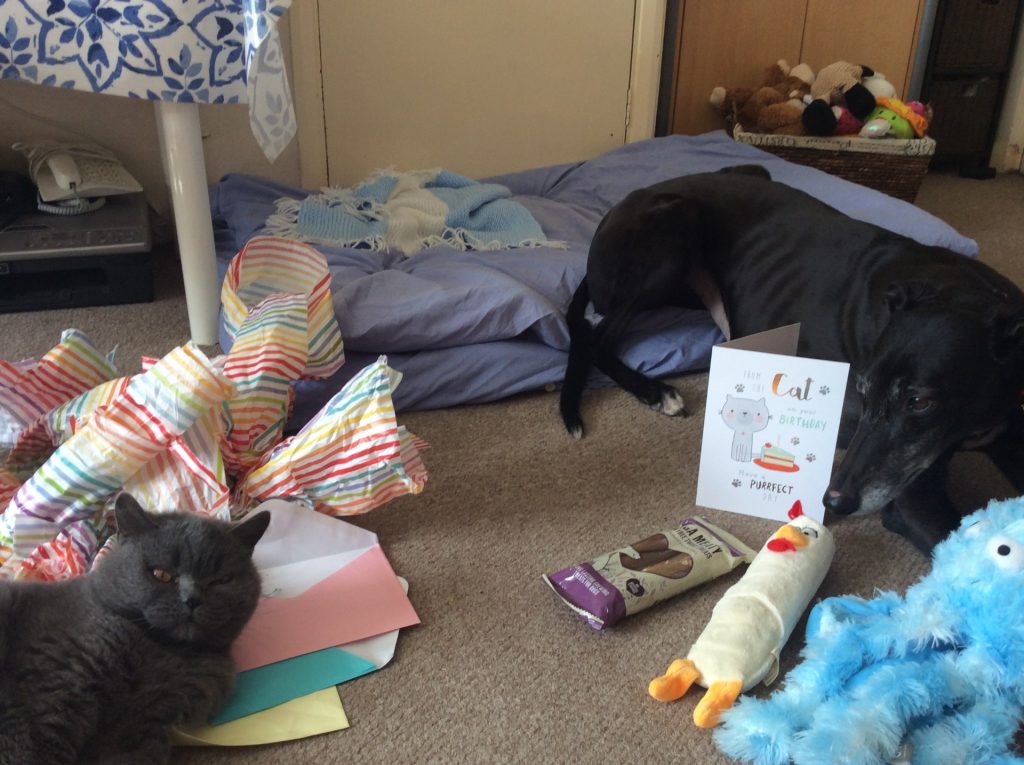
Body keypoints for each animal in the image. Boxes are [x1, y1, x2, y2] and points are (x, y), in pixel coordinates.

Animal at [0, 493, 271, 765]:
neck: (164, 651)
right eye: (161, 574)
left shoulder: (144, 719)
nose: (192, 599)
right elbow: (30, 748)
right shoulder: (50, 690)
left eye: (220, 581)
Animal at [559, 165, 1024, 553]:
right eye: (862, 389)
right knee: (594, 338)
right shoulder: (911, 495)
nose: (835, 499)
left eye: (920, 402)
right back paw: (656, 392)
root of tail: (621, 204)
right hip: (672, 236)